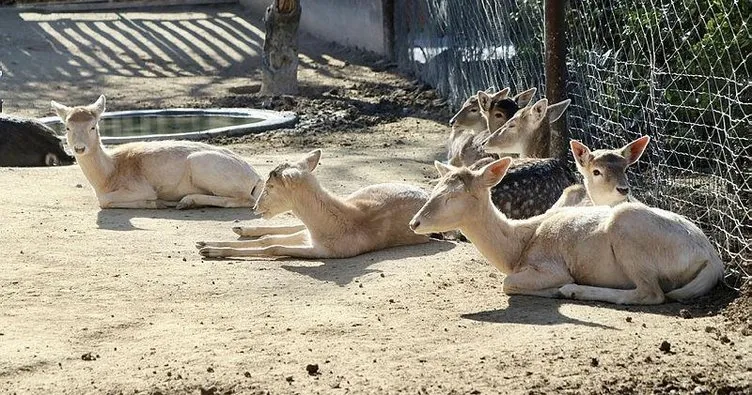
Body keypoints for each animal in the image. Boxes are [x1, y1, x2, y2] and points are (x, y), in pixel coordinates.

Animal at [51, 95, 262, 210]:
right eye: (67, 127)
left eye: (93, 126)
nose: (79, 148)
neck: (108, 175)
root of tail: (256, 178)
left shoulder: (141, 188)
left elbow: (103, 200)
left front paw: (156, 203)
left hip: (202, 165)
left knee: (246, 199)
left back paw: (186, 201)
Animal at [194, 149, 432, 260]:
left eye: (270, 185)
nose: (255, 208)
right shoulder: (308, 235)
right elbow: (268, 239)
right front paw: (204, 245)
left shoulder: (325, 251)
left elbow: (273, 246)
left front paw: (208, 250)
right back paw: (239, 227)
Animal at [408, 158, 724, 306]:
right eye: (434, 189)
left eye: (452, 197)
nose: (414, 223)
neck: (516, 249)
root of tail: (712, 259)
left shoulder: (550, 266)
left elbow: (507, 283)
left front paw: (556, 289)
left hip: (627, 229)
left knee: (652, 293)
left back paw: (574, 290)